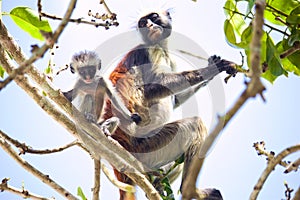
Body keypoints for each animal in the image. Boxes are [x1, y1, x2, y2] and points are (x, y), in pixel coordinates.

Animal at [103, 11, 237, 200]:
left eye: (154, 17)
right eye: (143, 23)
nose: (150, 25)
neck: (161, 47)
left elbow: (175, 100)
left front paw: (212, 69)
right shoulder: (150, 51)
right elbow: (152, 88)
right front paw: (214, 68)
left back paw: (158, 185)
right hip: (146, 146)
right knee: (195, 124)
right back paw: (189, 190)